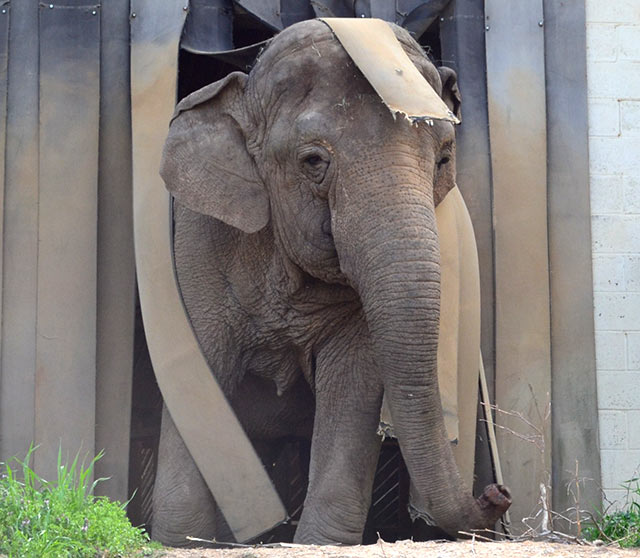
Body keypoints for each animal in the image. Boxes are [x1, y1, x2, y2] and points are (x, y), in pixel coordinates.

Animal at [155, 16, 510, 548]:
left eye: (444, 158)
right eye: (313, 162)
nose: (497, 493)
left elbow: (353, 383)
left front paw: (317, 542)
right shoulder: (198, 246)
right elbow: (200, 372)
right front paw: (180, 541)